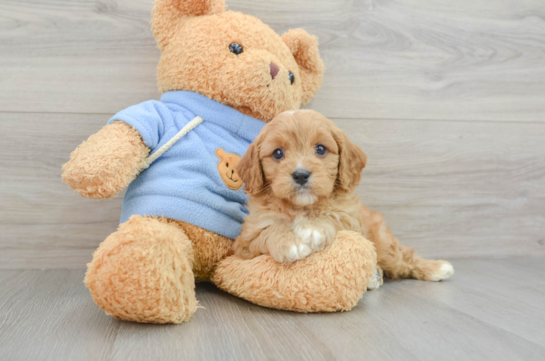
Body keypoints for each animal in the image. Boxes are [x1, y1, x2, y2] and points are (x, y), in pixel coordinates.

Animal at [234, 109, 454, 282]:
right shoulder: (245, 242)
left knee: (404, 257)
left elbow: (335, 218)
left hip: (384, 245)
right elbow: (267, 231)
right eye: (278, 153)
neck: (302, 207)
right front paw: (290, 243)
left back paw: (436, 268)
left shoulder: (352, 222)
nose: (301, 174)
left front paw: (313, 228)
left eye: (320, 149)